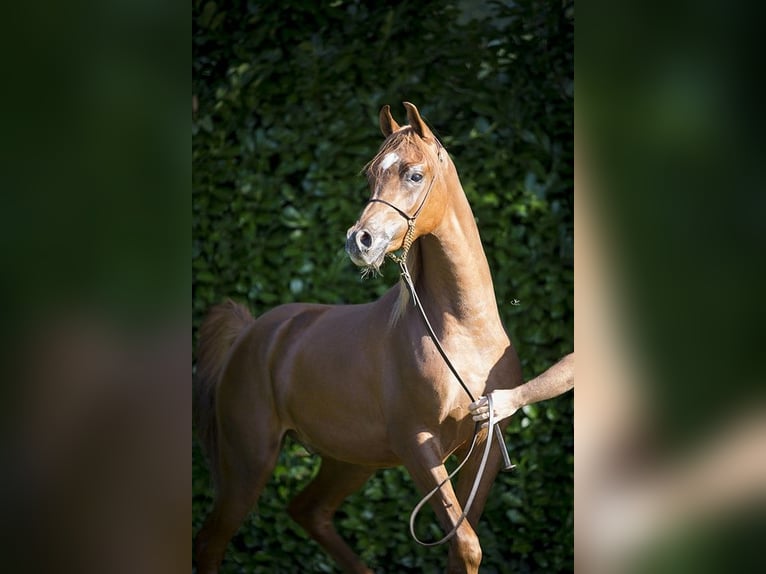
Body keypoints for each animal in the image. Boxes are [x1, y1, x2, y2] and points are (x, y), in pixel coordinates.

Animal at [195, 104, 524, 574]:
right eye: (371, 175)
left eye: (415, 175)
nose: (359, 241)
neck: (465, 334)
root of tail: (250, 334)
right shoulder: (418, 445)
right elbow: (466, 545)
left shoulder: (486, 450)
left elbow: (462, 542)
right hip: (249, 461)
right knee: (212, 542)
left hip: (348, 460)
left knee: (308, 511)